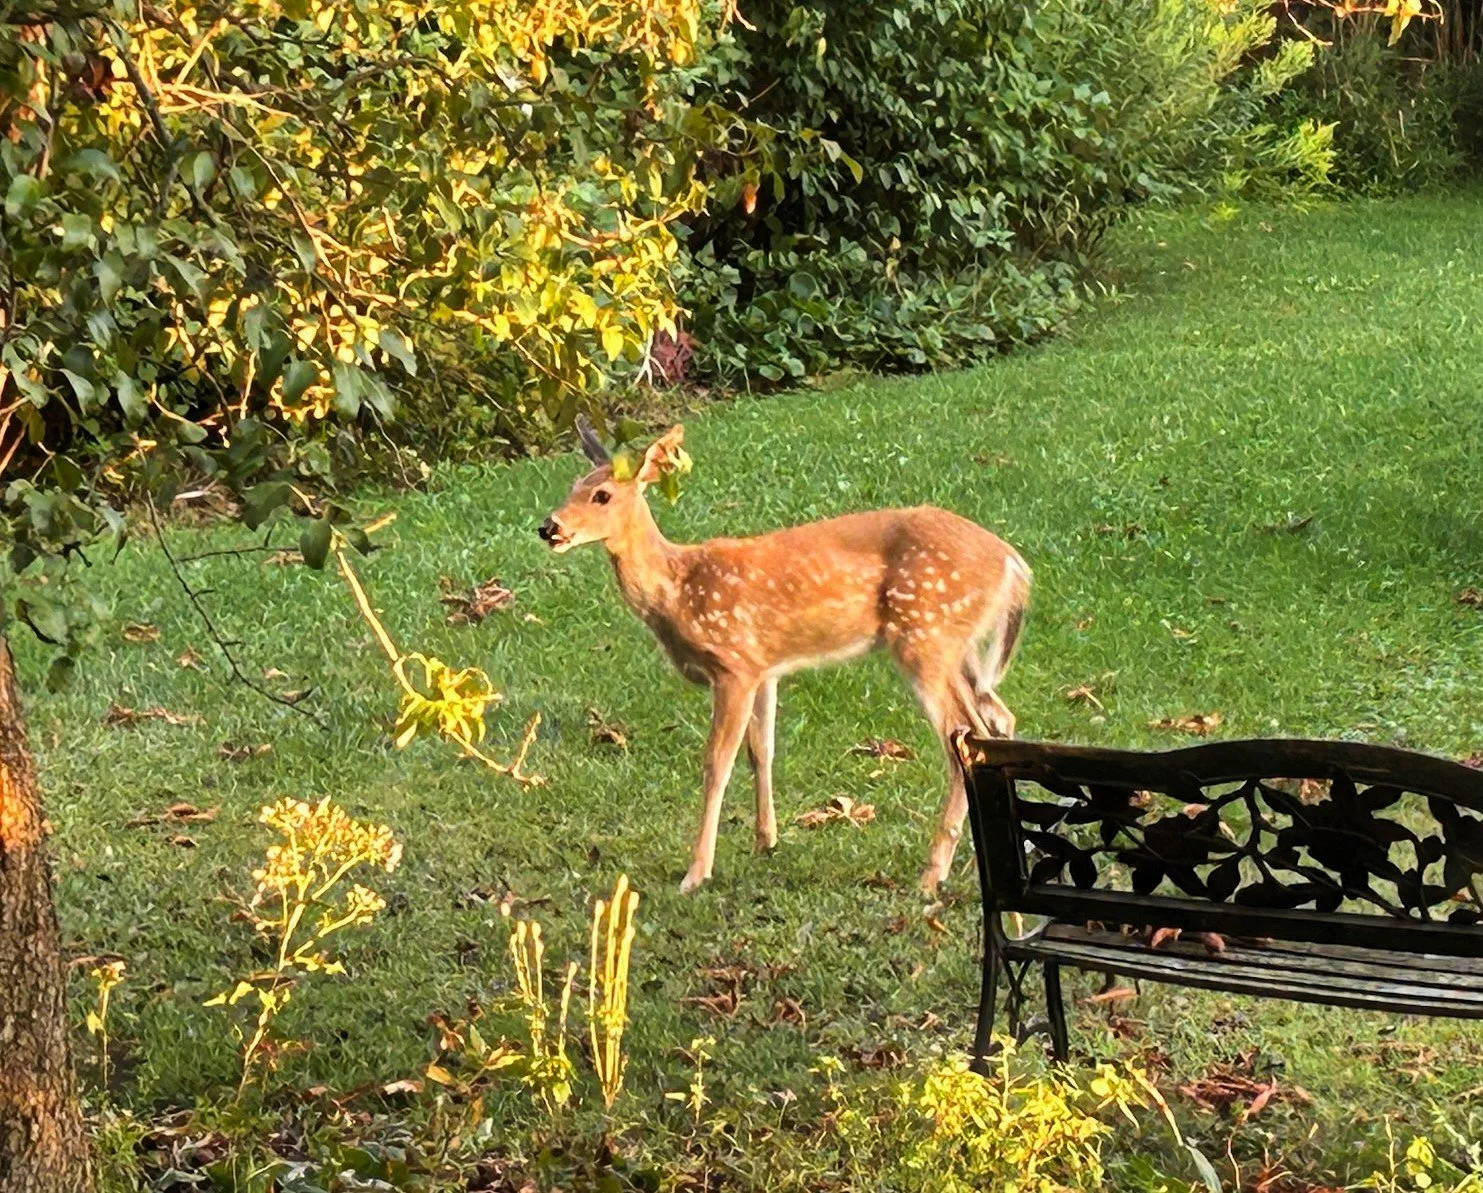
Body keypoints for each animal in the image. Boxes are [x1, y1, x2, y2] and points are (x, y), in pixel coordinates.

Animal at [539, 419, 1031, 895]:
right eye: (573, 485)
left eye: (602, 495)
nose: (549, 527)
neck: (676, 591)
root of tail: (1013, 562)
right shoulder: (764, 668)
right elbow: (762, 751)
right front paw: (766, 841)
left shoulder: (734, 664)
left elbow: (717, 763)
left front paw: (696, 873)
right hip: (960, 648)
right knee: (999, 719)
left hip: (924, 634)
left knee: (963, 736)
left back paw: (932, 875)